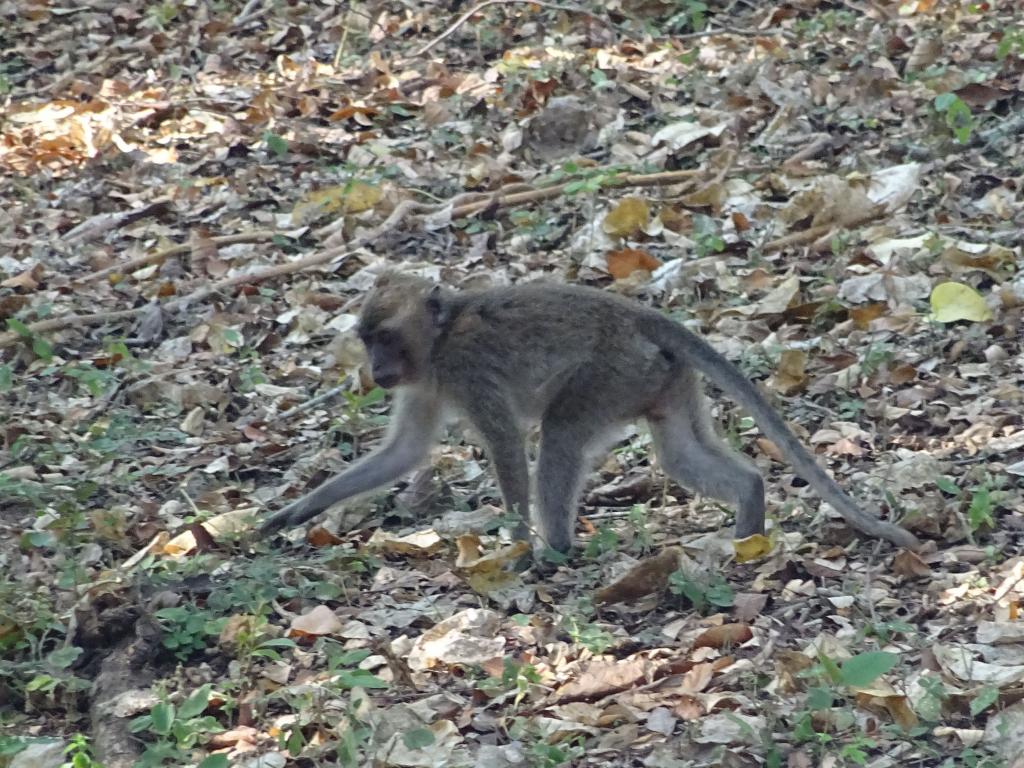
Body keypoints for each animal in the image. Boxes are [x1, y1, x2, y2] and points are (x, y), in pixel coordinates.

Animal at [258, 274, 921, 557]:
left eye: (386, 338)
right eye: (368, 340)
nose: (376, 369)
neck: (441, 338)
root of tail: (639, 315)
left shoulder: (466, 370)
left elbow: (505, 444)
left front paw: (516, 543)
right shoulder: (426, 383)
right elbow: (404, 454)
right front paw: (296, 512)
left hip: (611, 373)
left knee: (560, 436)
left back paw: (554, 550)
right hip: (662, 378)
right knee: (677, 451)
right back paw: (750, 508)